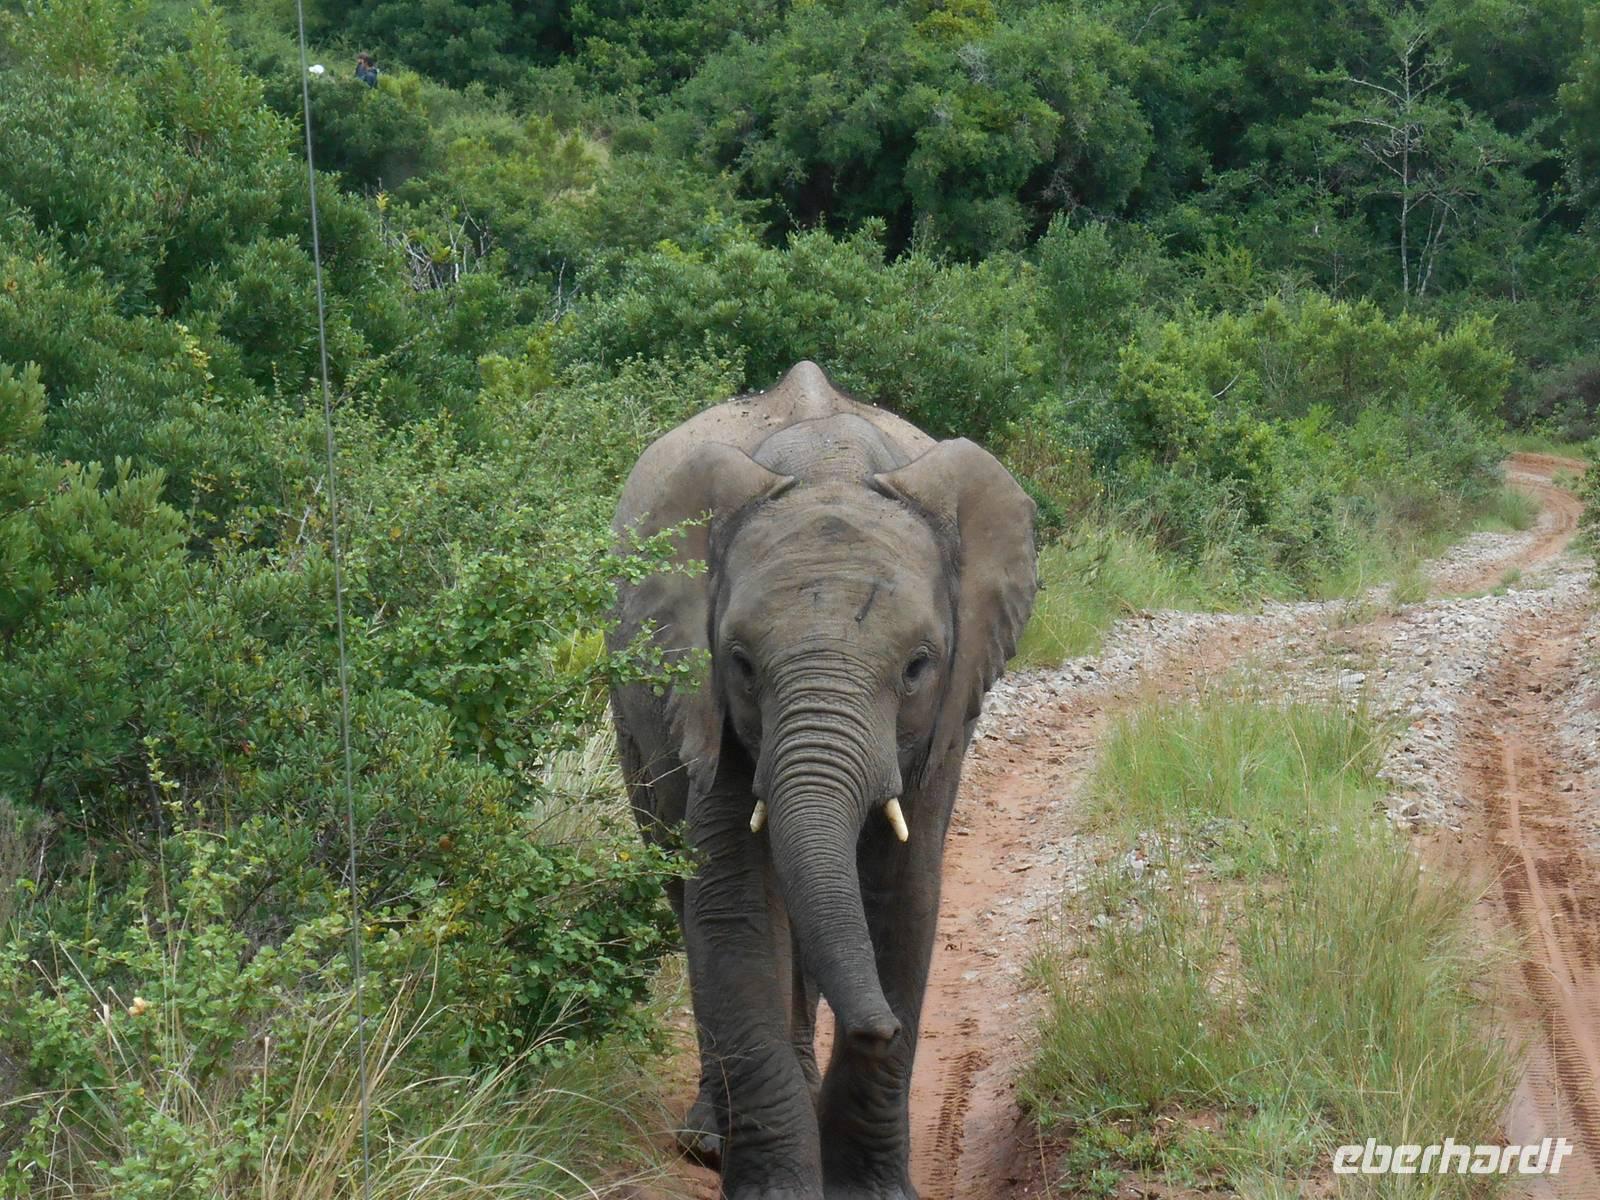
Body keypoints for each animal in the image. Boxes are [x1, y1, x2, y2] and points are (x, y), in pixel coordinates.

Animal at [607, 362, 1037, 1199]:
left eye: (918, 666)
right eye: (741, 663)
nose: (880, 1026)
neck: (827, 464)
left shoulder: (941, 726)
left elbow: (903, 895)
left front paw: (871, 1189)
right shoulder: (705, 700)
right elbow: (732, 906)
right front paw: (777, 1187)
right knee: (681, 885)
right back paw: (711, 1137)